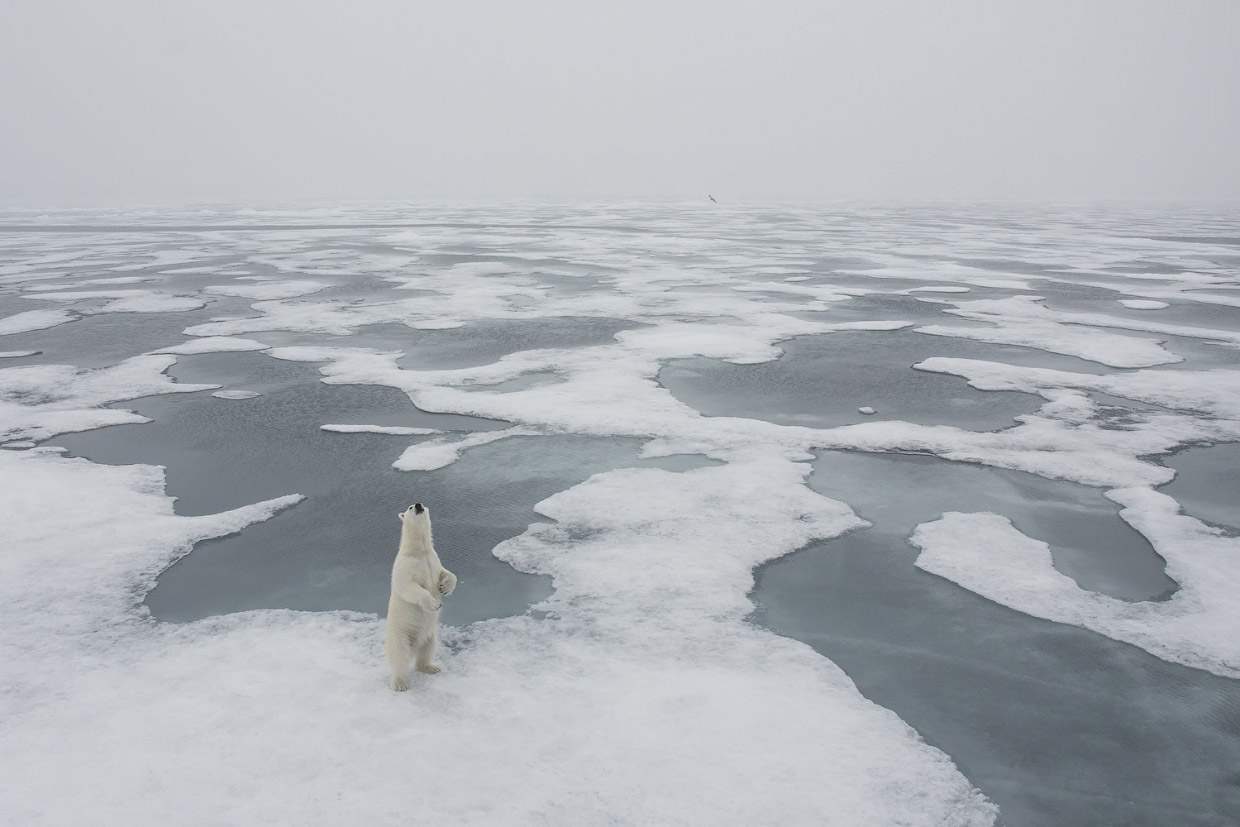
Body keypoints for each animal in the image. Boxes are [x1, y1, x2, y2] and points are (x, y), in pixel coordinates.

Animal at [384, 505, 458, 694]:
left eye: (422, 504)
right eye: (410, 507)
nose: (418, 505)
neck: (419, 552)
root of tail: (413, 647)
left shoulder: (434, 560)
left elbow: (445, 573)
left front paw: (445, 588)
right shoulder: (405, 566)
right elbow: (408, 586)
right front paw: (434, 603)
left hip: (430, 635)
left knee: (427, 650)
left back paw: (431, 667)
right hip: (400, 634)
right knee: (400, 656)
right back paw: (400, 683)